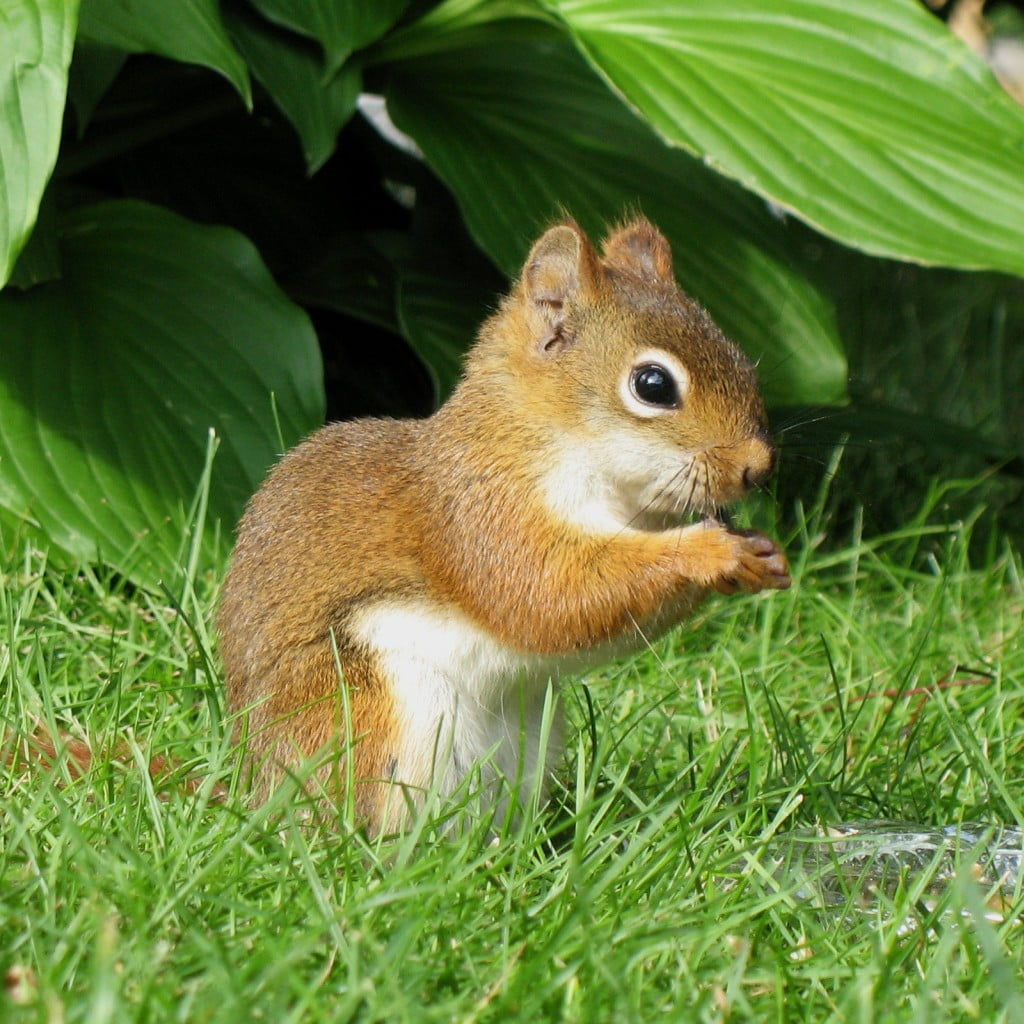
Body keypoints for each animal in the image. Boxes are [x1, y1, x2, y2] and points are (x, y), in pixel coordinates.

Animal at [217, 217, 791, 835]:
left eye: (739, 356)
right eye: (653, 384)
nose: (759, 467)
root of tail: (255, 789)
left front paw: (764, 553)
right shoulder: (479, 516)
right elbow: (547, 596)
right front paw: (710, 552)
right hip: (369, 717)